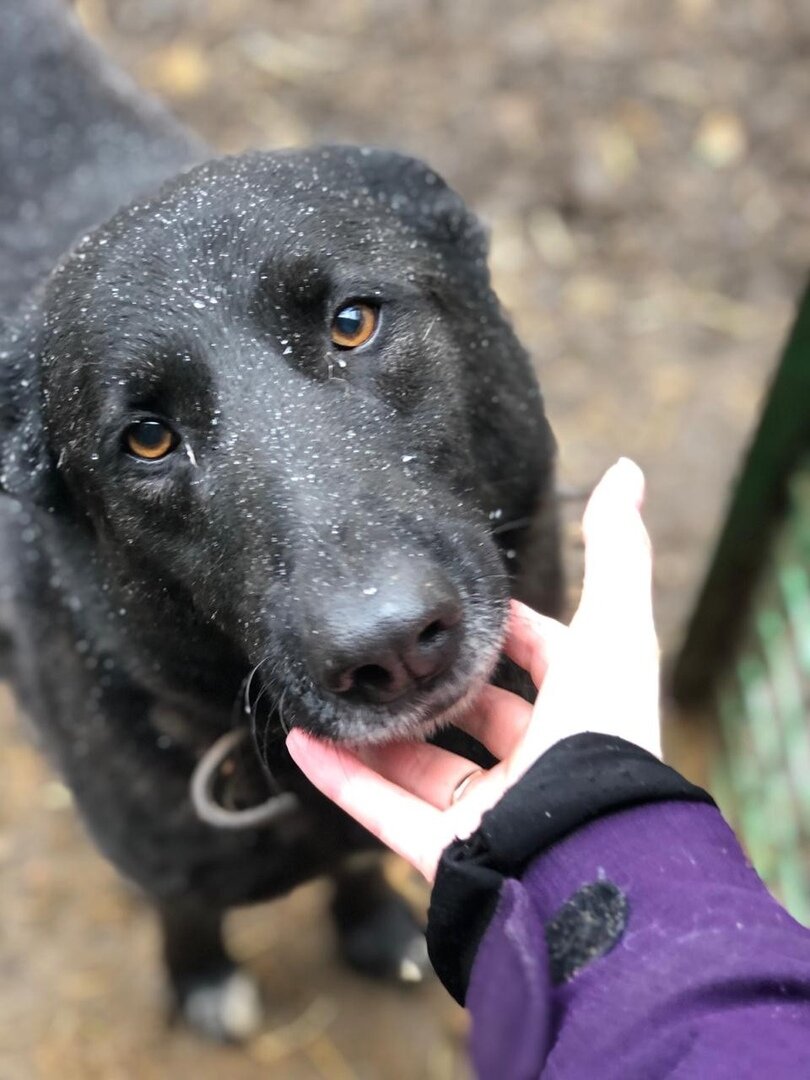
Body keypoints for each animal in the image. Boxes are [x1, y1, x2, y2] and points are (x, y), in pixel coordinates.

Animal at [0, 0, 565, 1036]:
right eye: (148, 439)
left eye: (353, 321)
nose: (391, 649)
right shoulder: (163, 856)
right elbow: (186, 905)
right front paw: (200, 977)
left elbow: (356, 860)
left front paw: (371, 923)